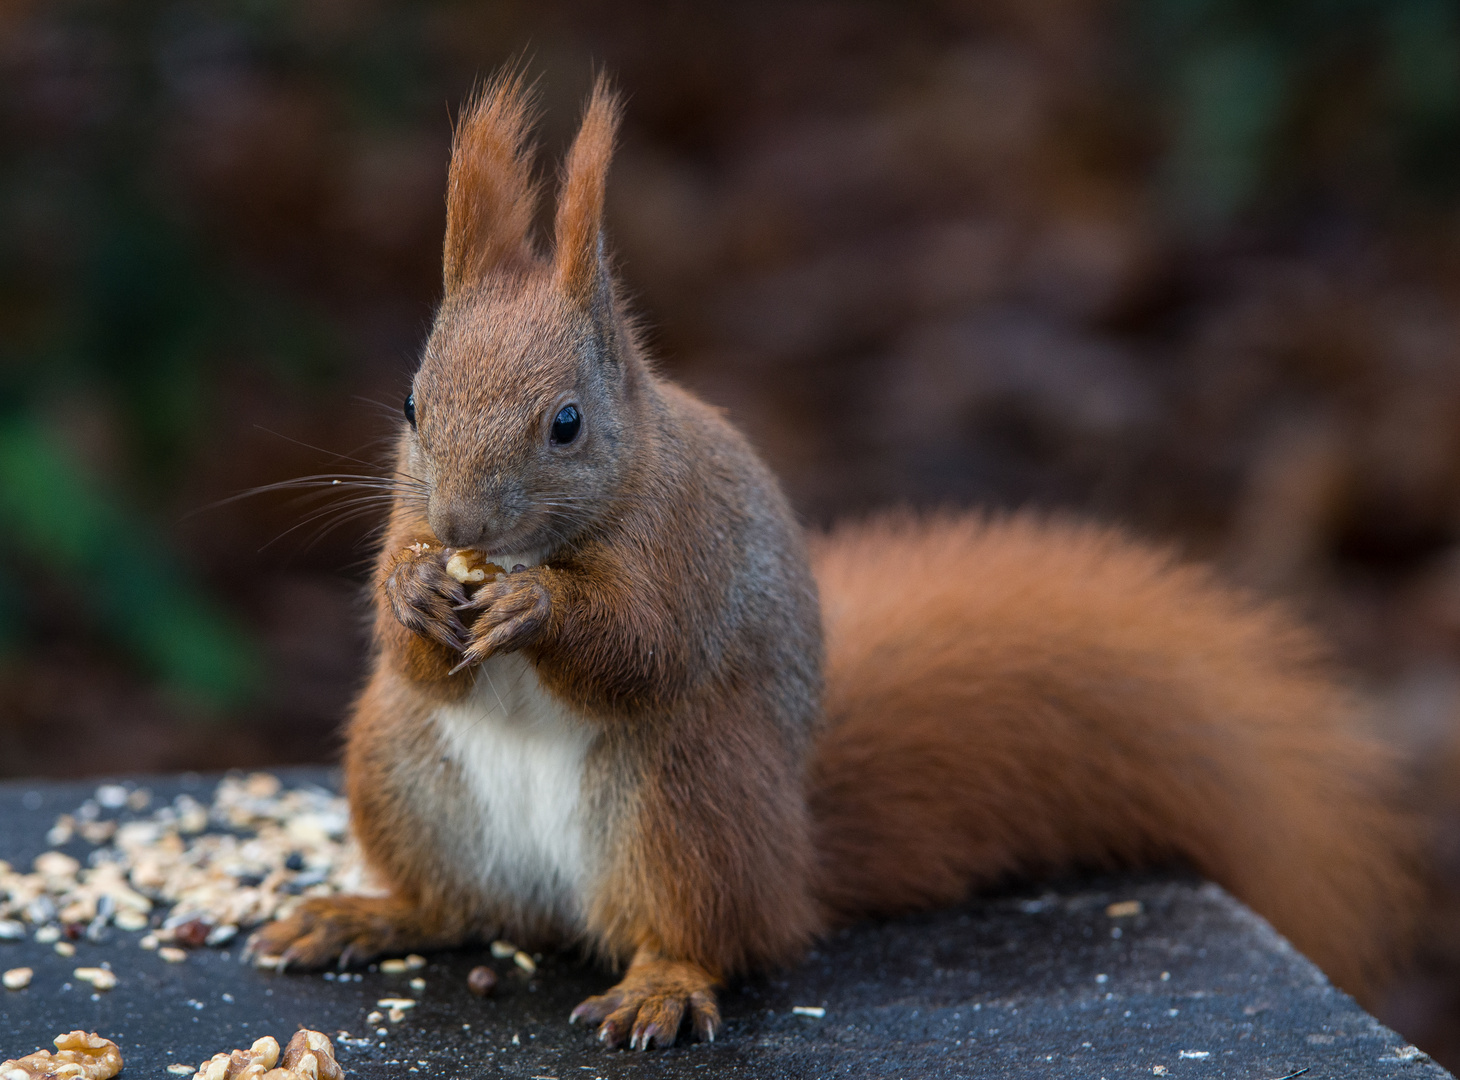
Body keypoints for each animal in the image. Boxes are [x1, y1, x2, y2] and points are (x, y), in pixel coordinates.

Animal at [248, 73, 1424, 1044]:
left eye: (567, 424)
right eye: (412, 405)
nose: (462, 526)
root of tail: (793, 870)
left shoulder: (689, 545)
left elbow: (643, 648)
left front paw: (534, 608)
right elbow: (411, 646)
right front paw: (412, 591)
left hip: (683, 803)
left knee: (707, 935)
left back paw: (658, 986)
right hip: (403, 767)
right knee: (458, 904)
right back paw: (363, 915)